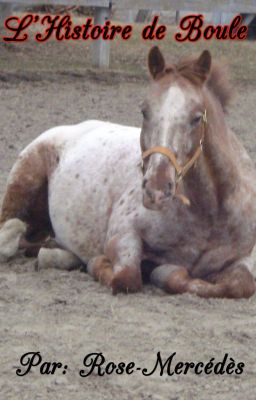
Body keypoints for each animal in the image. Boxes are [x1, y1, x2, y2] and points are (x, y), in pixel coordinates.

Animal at [0, 47, 256, 296]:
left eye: (196, 118)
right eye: (144, 111)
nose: (156, 191)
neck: (210, 214)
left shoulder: (245, 259)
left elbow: (238, 285)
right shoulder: (122, 234)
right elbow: (126, 278)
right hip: (22, 187)